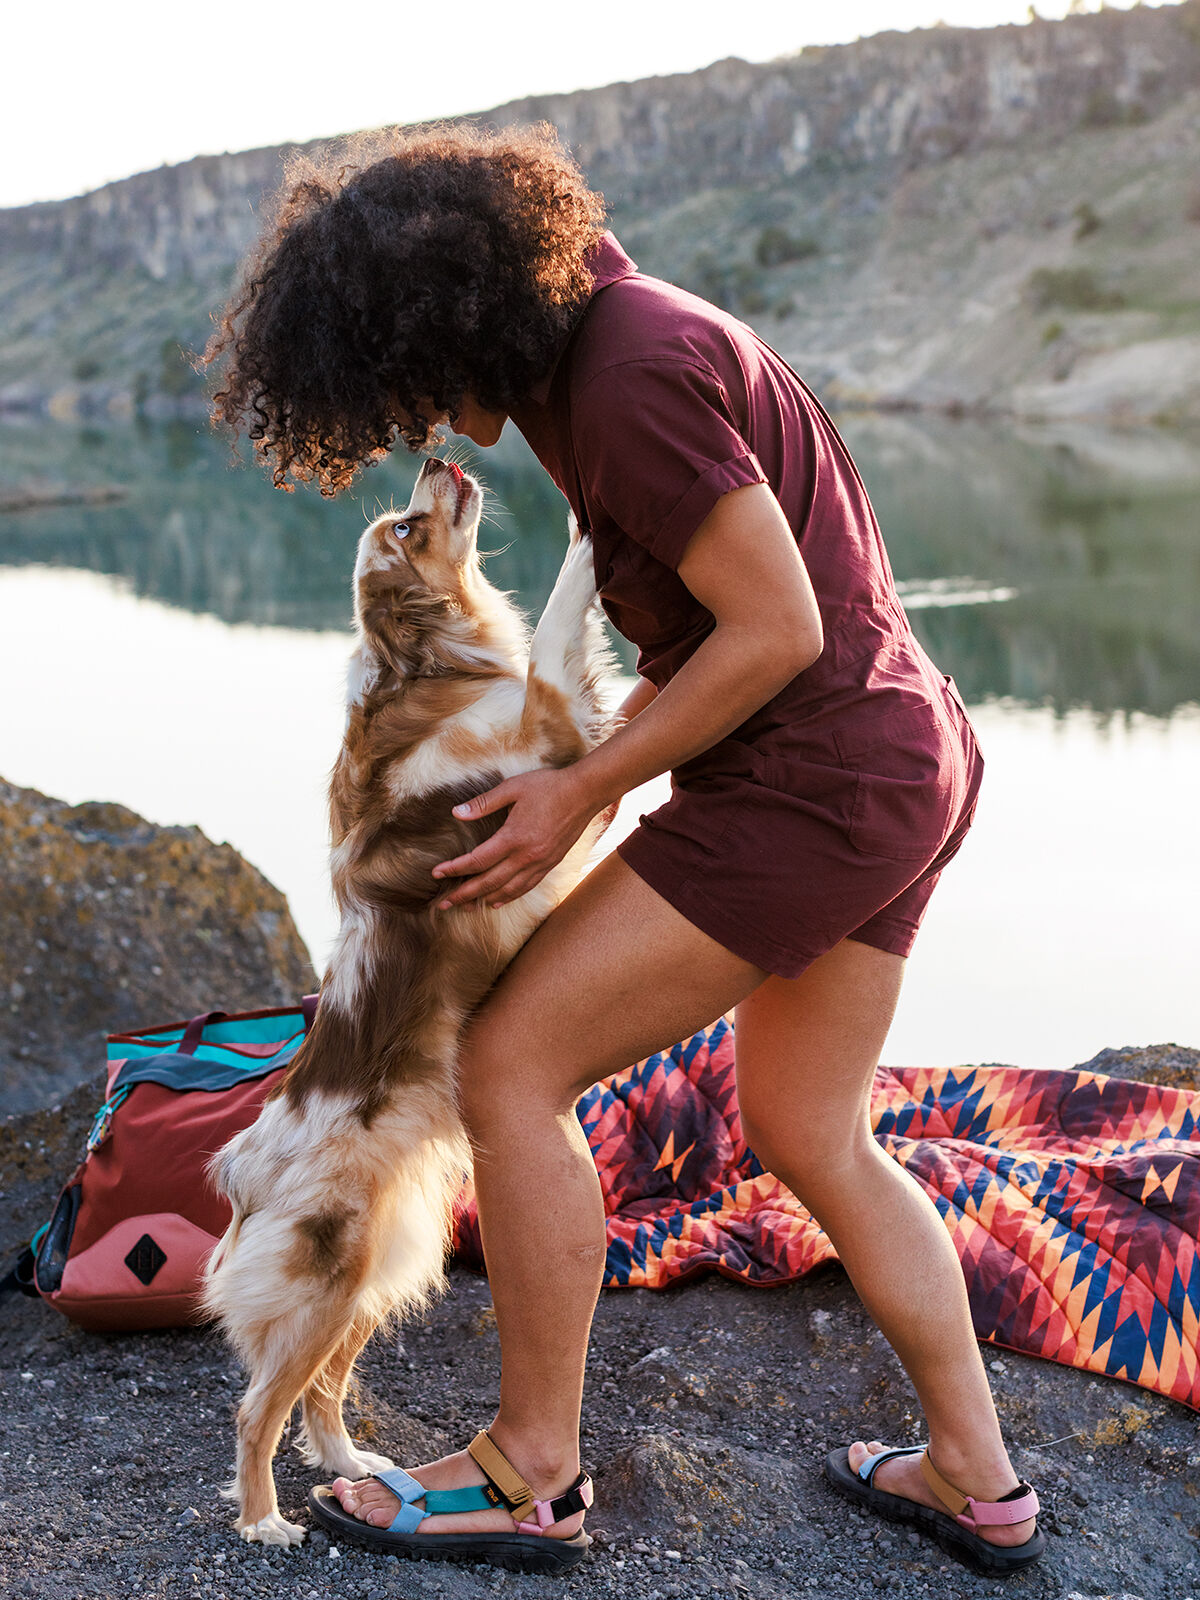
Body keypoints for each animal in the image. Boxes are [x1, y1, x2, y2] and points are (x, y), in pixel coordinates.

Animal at [204, 457, 611, 1542]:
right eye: (405, 526)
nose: (439, 456)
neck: (422, 673)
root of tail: (245, 1169)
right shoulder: (548, 741)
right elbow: (558, 631)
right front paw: (587, 533)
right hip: (328, 1280)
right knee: (259, 1406)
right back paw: (265, 1519)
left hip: (381, 1273)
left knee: (320, 1393)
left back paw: (356, 1469)